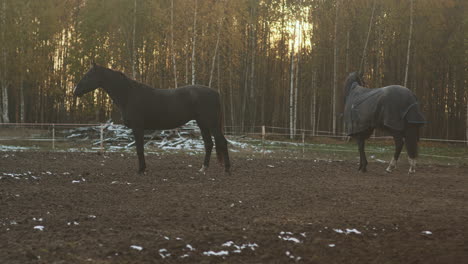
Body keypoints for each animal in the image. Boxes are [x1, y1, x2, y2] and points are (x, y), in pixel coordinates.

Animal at [72, 63, 230, 175]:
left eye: (88, 75)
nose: (75, 91)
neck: (129, 95)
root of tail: (215, 92)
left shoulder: (138, 127)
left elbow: (139, 149)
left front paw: (141, 170)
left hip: (211, 124)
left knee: (222, 142)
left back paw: (227, 170)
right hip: (202, 124)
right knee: (209, 144)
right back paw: (203, 169)